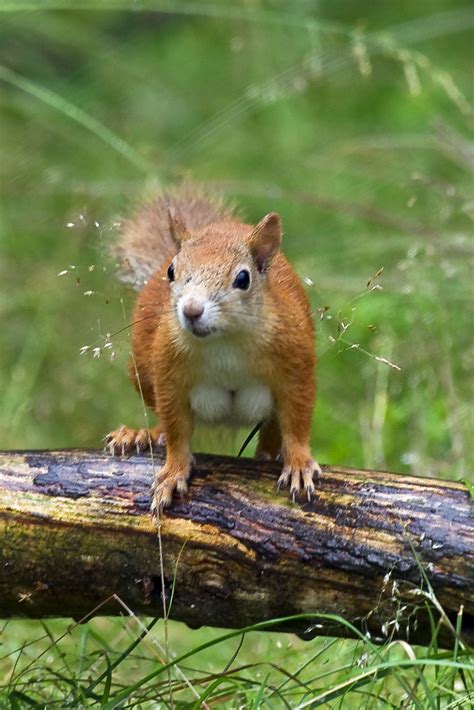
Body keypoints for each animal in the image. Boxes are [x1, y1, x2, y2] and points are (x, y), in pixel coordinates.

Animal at [105, 186, 320, 516]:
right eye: (171, 270)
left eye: (243, 279)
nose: (191, 310)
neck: (224, 343)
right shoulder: (168, 372)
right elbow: (176, 428)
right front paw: (173, 473)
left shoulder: (296, 363)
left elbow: (297, 419)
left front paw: (298, 464)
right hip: (141, 370)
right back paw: (142, 434)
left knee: (273, 427)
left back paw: (268, 453)